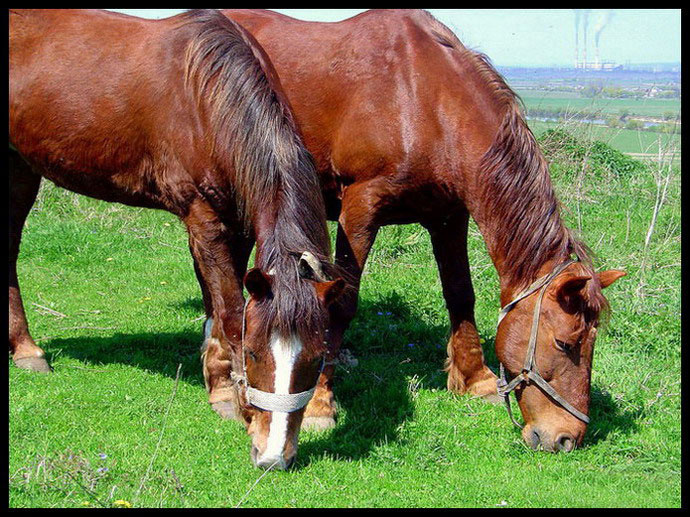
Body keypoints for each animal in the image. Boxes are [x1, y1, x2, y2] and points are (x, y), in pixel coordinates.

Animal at [9, 8, 345, 470]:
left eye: (314, 359)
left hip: (22, 167)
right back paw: (27, 351)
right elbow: (228, 311)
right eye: (255, 355)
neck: (206, 98)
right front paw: (226, 395)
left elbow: (219, 303)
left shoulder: (235, 221)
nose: (273, 456)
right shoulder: (203, 217)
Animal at [222, 8, 626, 452]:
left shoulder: (449, 217)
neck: (422, 99)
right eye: (565, 343)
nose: (567, 437)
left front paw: (476, 378)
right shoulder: (360, 209)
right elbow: (340, 304)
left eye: (593, 344)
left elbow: (460, 294)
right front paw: (319, 404)